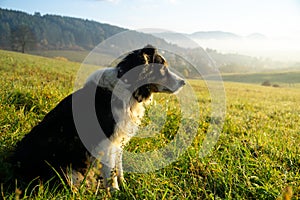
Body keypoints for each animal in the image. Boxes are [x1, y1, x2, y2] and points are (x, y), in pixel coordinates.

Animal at [10, 45, 185, 191]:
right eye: (162, 68)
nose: (183, 82)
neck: (128, 89)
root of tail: (13, 161)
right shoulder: (106, 142)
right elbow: (111, 171)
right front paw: (115, 191)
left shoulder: (118, 139)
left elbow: (118, 167)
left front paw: (124, 186)